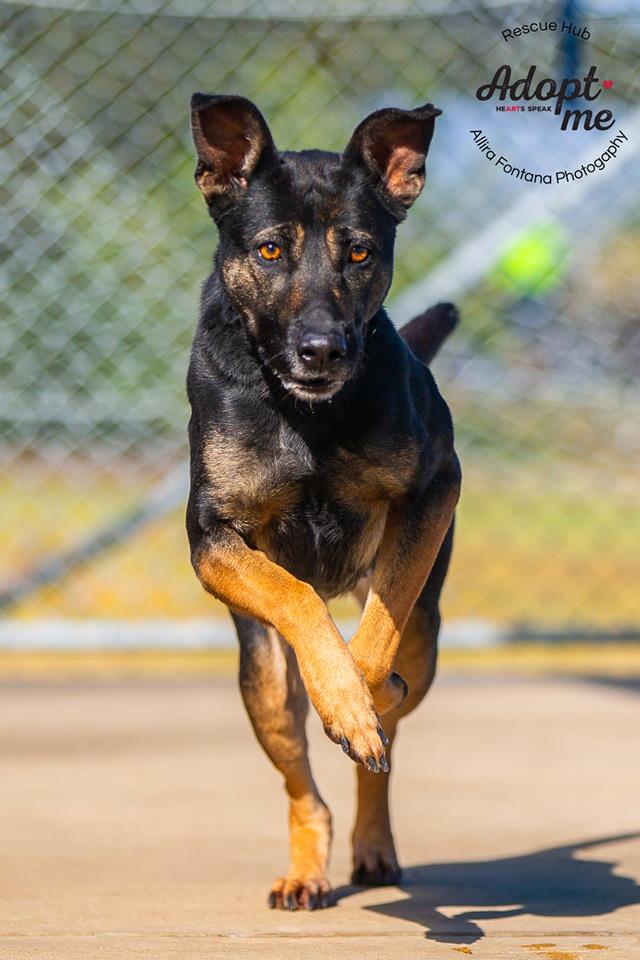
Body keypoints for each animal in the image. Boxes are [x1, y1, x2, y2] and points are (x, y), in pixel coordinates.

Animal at [186, 94, 461, 910]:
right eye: (271, 250)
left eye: (361, 254)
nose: (322, 350)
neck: (306, 412)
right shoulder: (210, 536)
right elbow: (296, 595)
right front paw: (339, 690)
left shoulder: (435, 488)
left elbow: (372, 647)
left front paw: (357, 696)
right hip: (262, 683)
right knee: (302, 783)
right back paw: (307, 868)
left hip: (428, 633)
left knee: (390, 732)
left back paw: (373, 836)